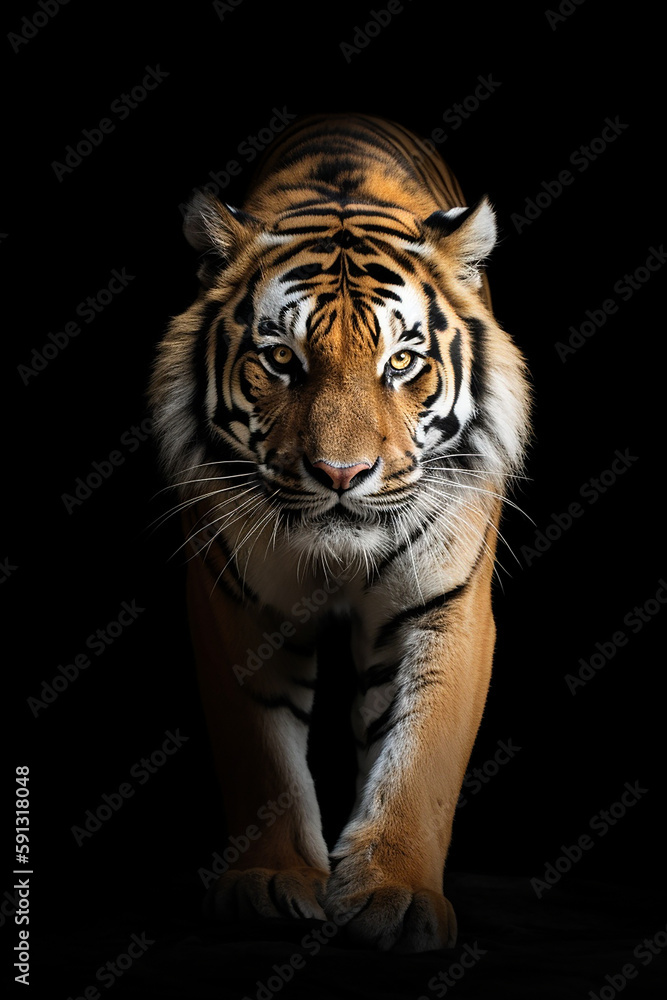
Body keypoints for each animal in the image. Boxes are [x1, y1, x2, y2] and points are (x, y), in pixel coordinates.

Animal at [149, 113, 531, 953]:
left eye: (403, 362)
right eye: (280, 360)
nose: (341, 473)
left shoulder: (444, 607)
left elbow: (419, 760)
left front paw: (395, 894)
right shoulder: (232, 602)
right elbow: (260, 755)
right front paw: (269, 880)